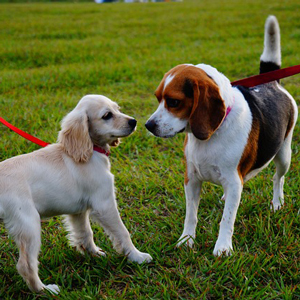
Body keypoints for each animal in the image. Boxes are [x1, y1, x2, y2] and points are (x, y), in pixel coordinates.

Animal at [0, 95, 151, 294]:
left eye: (117, 109)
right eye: (107, 115)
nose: (133, 122)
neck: (91, 151)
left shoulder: (78, 211)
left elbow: (85, 233)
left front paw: (93, 254)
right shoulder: (104, 204)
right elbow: (122, 232)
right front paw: (137, 256)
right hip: (28, 223)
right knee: (26, 264)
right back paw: (45, 290)